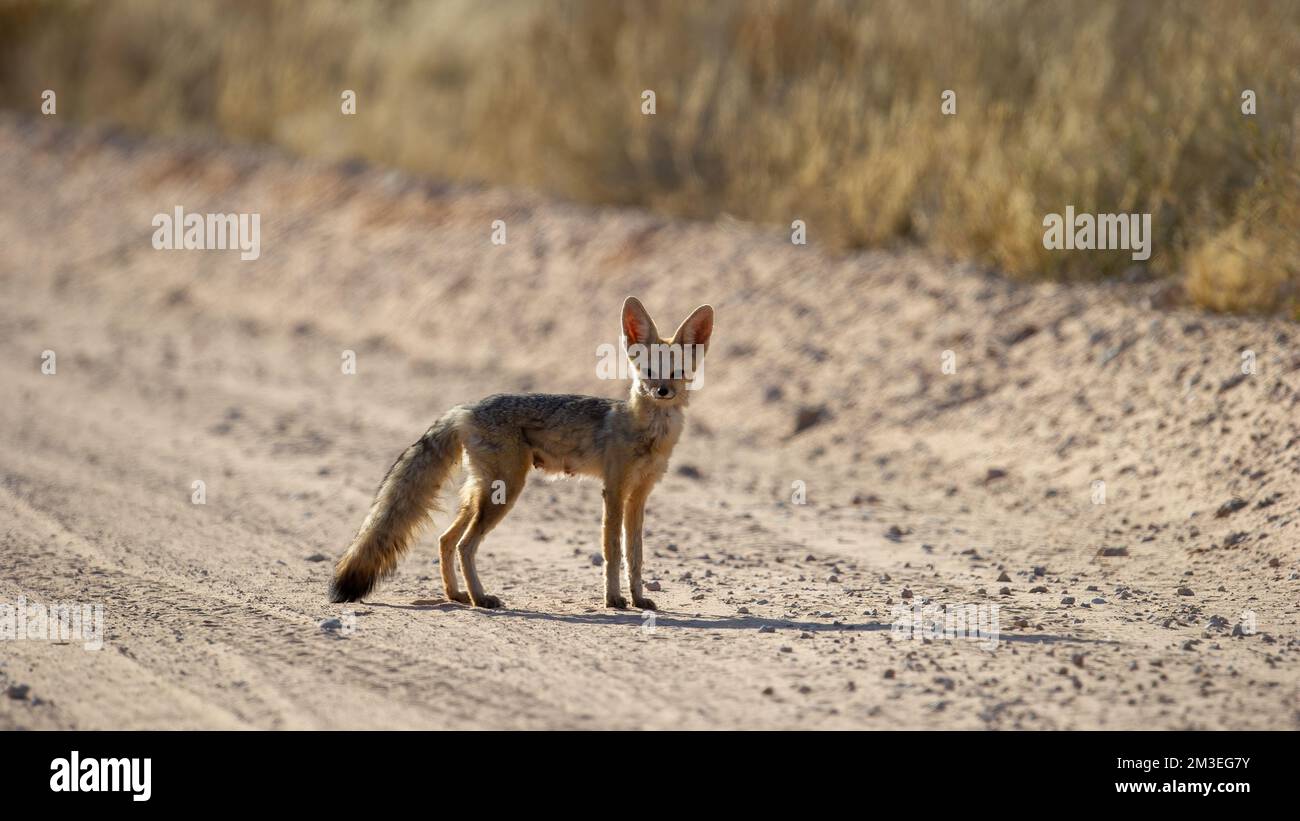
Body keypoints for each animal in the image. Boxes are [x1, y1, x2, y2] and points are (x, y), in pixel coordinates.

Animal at [325, 296, 712, 610]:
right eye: (649, 372)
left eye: (677, 372)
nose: (662, 391)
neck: (649, 433)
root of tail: (465, 408)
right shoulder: (614, 490)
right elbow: (613, 551)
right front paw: (614, 600)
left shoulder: (639, 495)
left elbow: (635, 554)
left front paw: (638, 599)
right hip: (505, 491)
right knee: (464, 545)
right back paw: (480, 598)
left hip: (482, 494)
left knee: (445, 539)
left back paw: (457, 595)